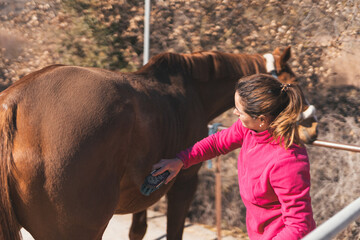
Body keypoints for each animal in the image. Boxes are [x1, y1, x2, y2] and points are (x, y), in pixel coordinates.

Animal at [0, 46, 316, 239]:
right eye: (294, 81)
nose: (312, 125)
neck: (191, 91)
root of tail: (14, 101)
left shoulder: (143, 191)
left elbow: (137, 230)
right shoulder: (184, 184)